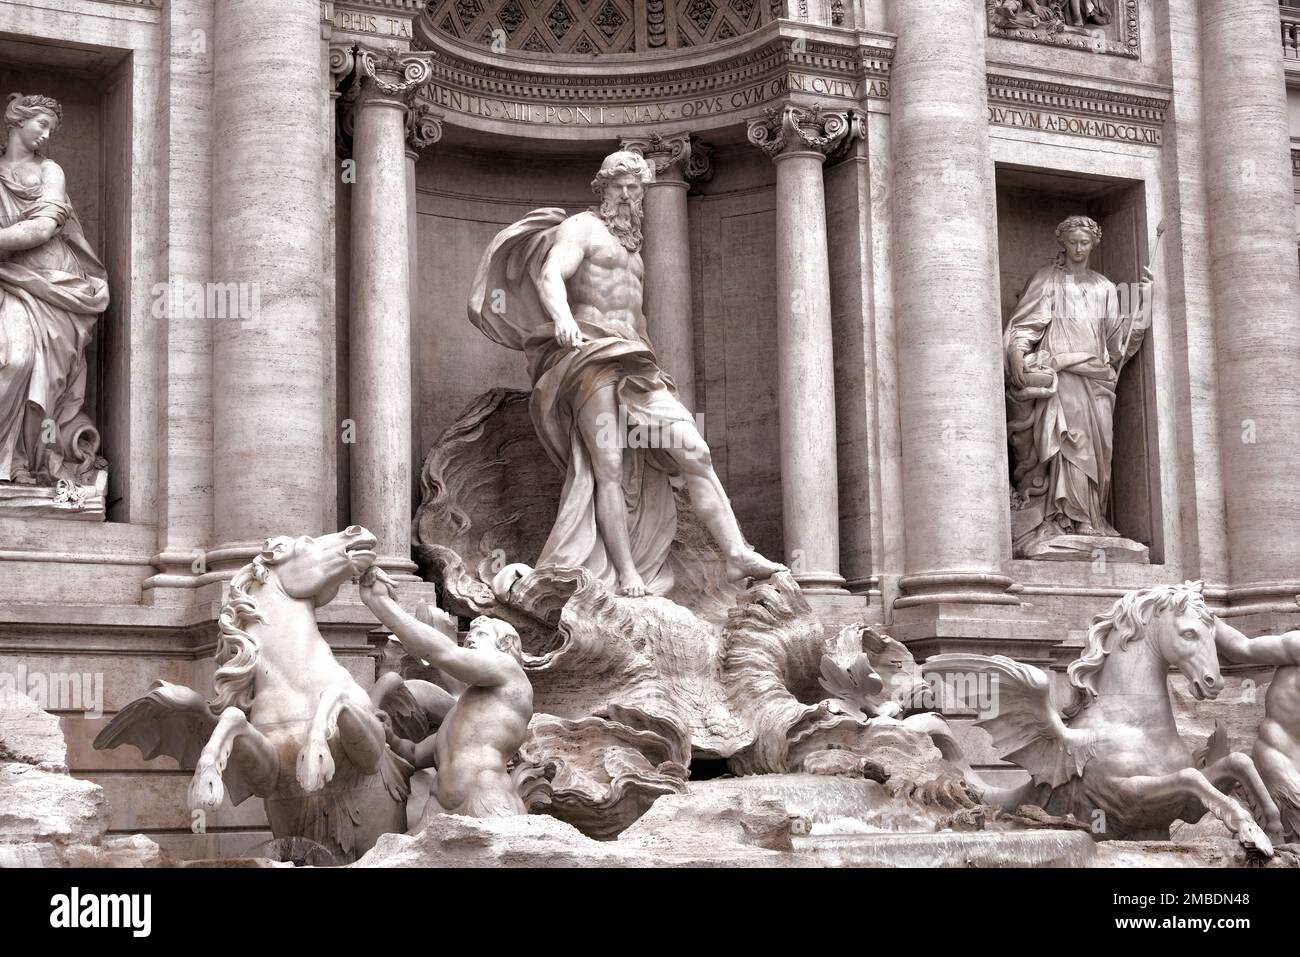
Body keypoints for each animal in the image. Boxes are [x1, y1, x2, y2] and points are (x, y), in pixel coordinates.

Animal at [925, 579, 1279, 858]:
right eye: (1189, 633)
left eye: (1214, 633)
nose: (1213, 682)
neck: (1134, 724)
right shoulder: (1127, 797)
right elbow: (1191, 776)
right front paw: (1251, 831)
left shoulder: (1180, 811)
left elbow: (1237, 762)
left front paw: (1272, 823)